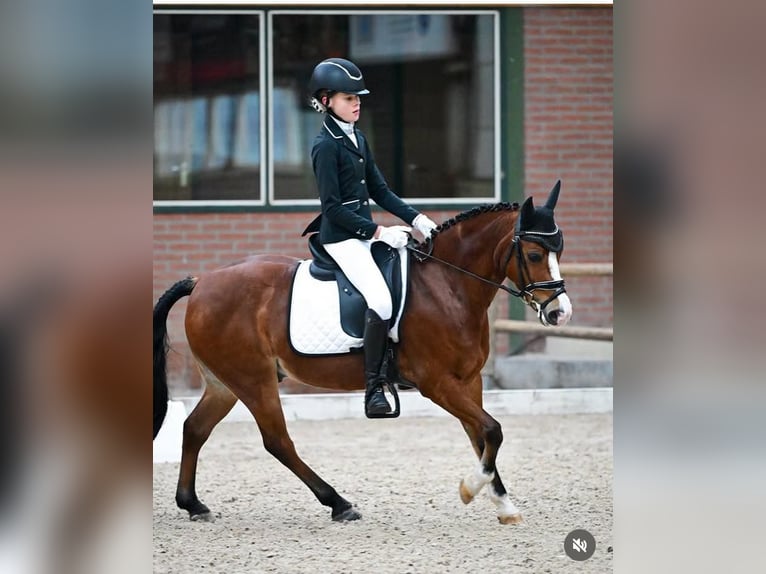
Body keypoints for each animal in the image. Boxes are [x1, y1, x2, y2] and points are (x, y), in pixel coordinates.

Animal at [153, 180, 572, 524]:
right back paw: (338, 503)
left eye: (559, 250)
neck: (447, 285)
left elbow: (482, 436)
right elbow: (492, 429)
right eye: (535, 255)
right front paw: (471, 488)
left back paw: (193, 504)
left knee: (195, 428)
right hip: (253, 380)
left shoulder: (469, 382)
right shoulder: (437, 383)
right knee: (277, 441)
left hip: (224, 382)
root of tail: (202, 282)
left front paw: (503, 504)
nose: (560, 313)